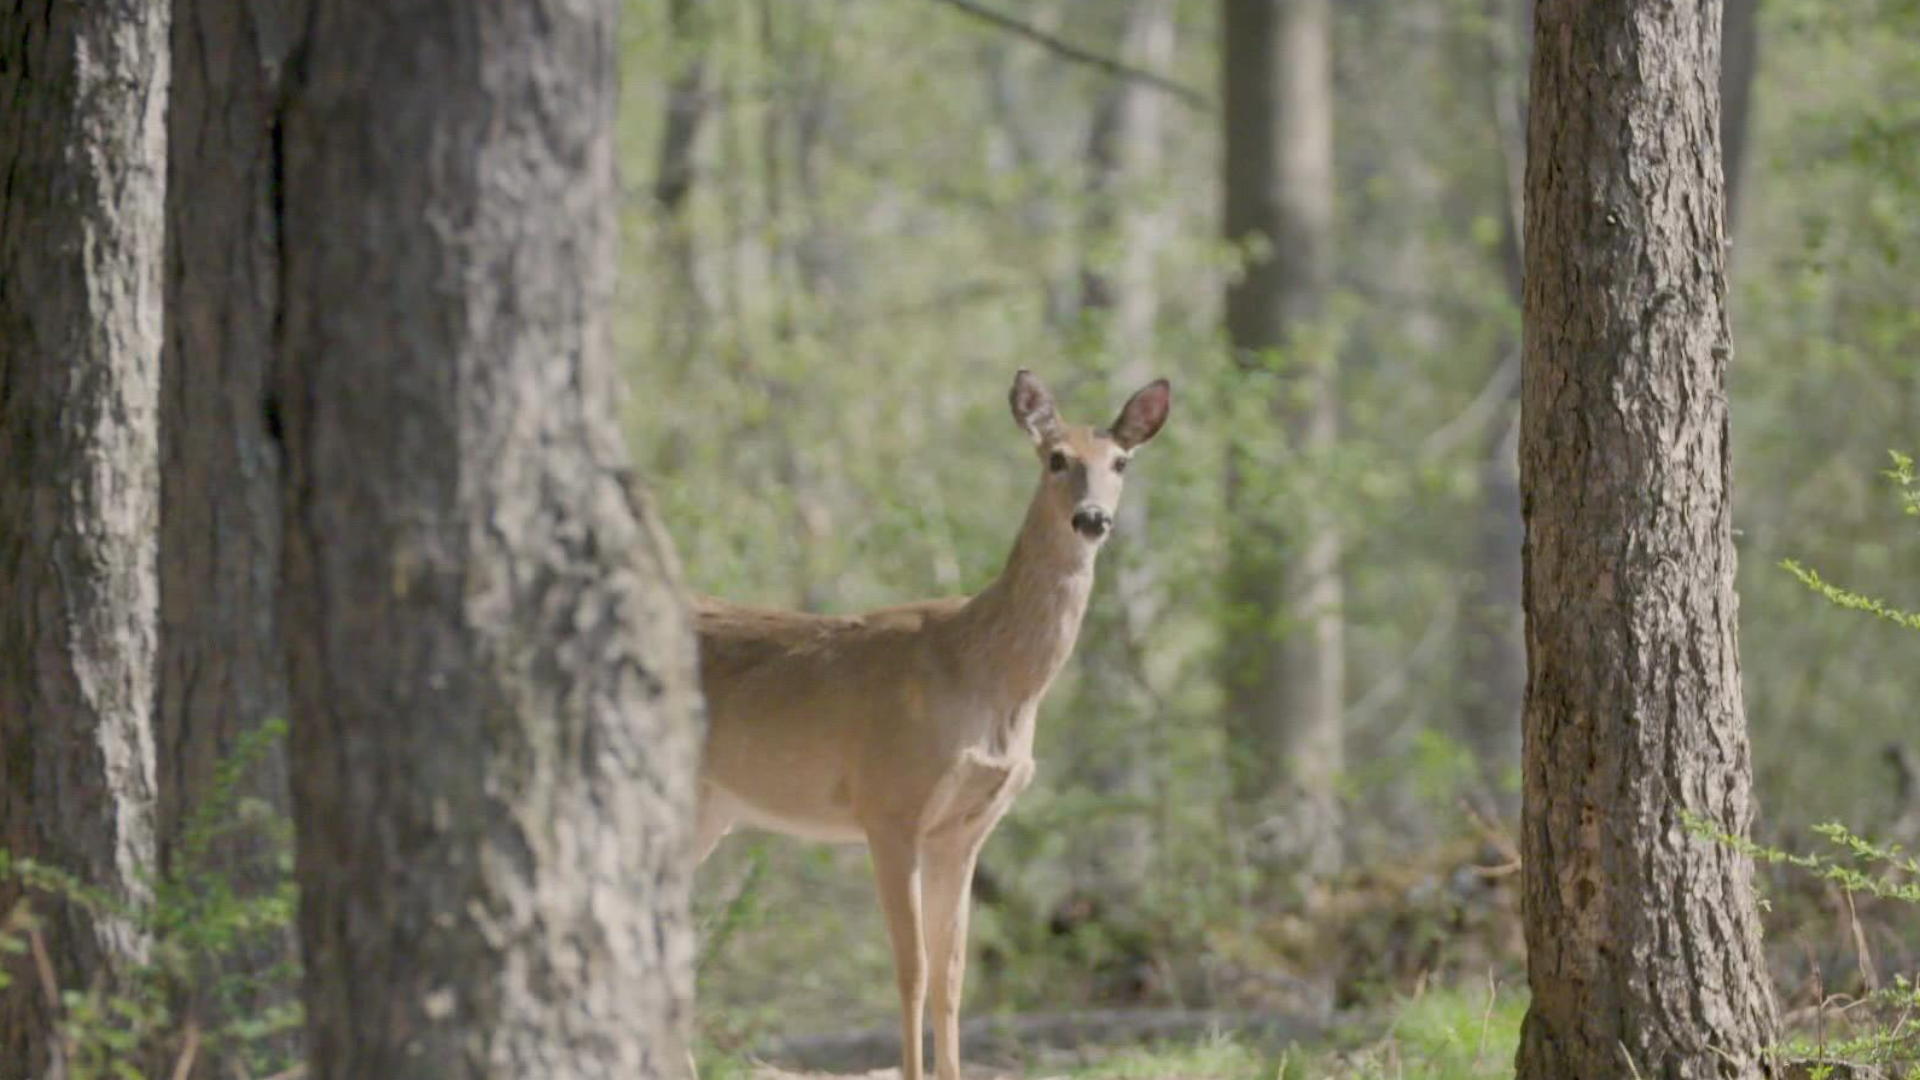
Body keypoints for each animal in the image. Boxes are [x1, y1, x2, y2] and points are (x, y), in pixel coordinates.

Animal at [695, 367, 1167, 1076]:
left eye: (1122, 462)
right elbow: (911, 969)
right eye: (1055, 458)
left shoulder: (965, 827)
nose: (1093, 518)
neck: (987, 676)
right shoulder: (889, 801)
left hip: (711, 810)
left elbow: (952, 972)